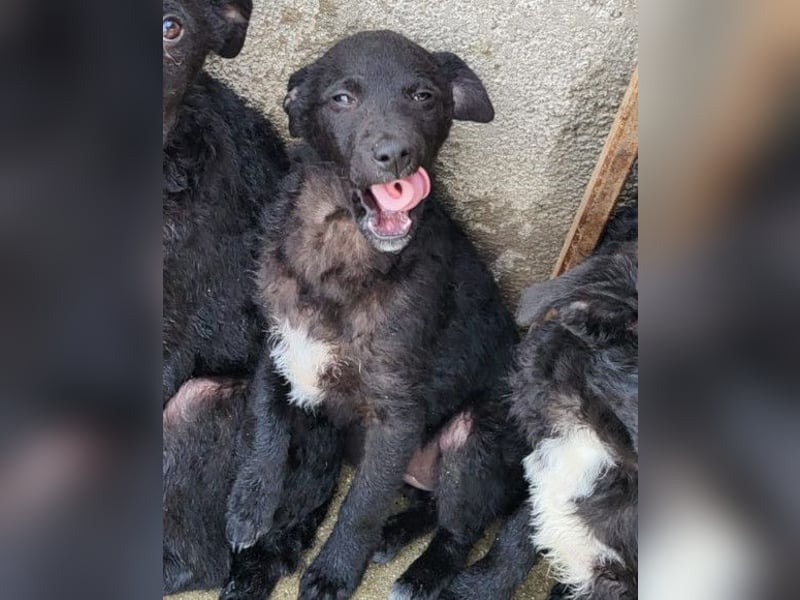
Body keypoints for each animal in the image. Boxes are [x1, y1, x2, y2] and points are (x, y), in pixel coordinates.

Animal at [224, 30, 527, 600]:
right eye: (342, 98)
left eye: (424, 96)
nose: (395, 155)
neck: (336, 245)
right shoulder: (277, 346)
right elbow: (265, 427)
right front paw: (249, 504)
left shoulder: (397, 414)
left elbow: (361, 503)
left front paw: (335, 572)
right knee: (427, 506)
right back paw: (393, 531)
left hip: (475, 437)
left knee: (459, 529)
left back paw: (423, 574)